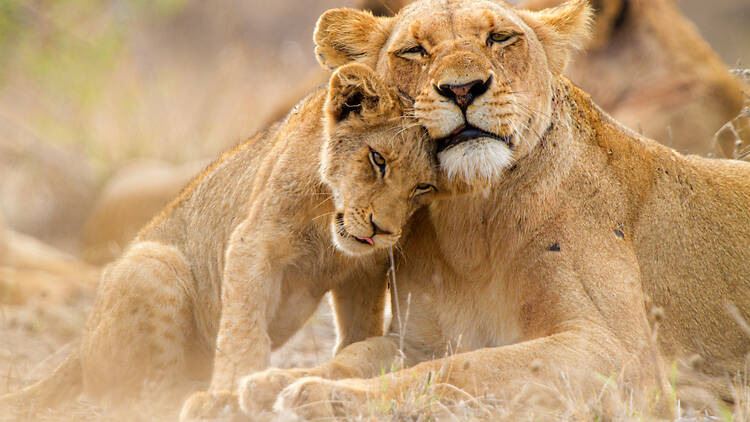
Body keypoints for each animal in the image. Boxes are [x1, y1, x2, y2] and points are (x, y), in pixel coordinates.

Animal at [0, 63, 440, 419]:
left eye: (424, 187)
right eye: (377, 160)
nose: (382, 231)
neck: (327, 224)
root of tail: (79, 346)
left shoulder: (364, 271)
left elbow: (359, 332)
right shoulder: (253, 242)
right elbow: (242, 330)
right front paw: (229, 395)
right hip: (154, 262)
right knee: (142, 398)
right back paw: (193, 398)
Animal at [231, 1, 750, 419]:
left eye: (499, 38)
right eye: (414, 51)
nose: (463, 89)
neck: (472, 223)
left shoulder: (622, 356)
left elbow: (462, 369)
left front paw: (323, 397)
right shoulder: (416, 339)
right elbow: (354, 356)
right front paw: (271, 382)